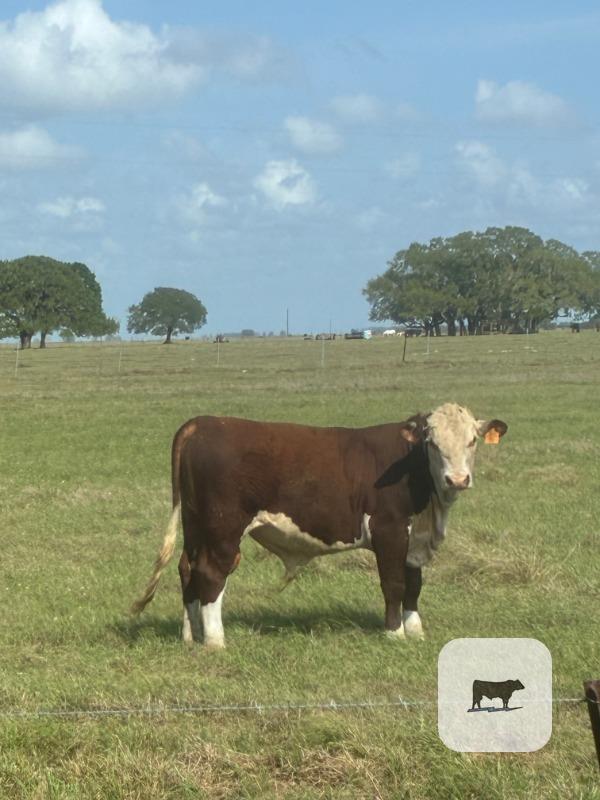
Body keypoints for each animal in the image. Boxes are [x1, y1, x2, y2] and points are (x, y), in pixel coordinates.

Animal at [131, 403, 507, 648]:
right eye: (432, 442)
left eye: (472, 440)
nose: (457, 479)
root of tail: (202, 423)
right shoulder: (389, 531)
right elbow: (394, 584)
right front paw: (394, 633)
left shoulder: (414, 539)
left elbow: (414, 585)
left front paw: (415, 630)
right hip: (223, 528)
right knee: (210, 573)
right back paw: (215, 640)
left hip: (196, 524)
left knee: (187, 568)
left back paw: (190, 635)